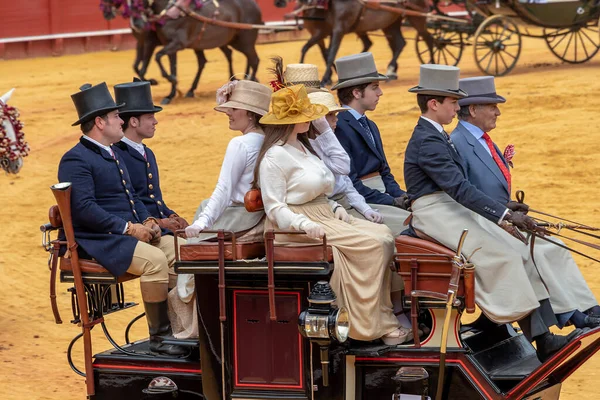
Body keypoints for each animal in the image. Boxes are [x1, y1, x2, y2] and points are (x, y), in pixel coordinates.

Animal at [274, 0, 434, 85]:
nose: (278, 3)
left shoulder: (337, 29)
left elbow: (330, 54)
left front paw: (326, 78)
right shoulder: (322, 33)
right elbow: (309, 49)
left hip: (417, 17)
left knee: (428, 39)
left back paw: (431, 64)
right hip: (391, 23)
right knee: (400, 43)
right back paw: (391, 70)